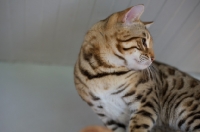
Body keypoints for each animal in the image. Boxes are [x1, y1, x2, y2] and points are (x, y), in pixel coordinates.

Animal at [73, 4, 200, 132]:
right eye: (143, 41)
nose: (153, 58)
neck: (102, 74)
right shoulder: (108, 117)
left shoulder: (146, 102)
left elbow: (138, 127)